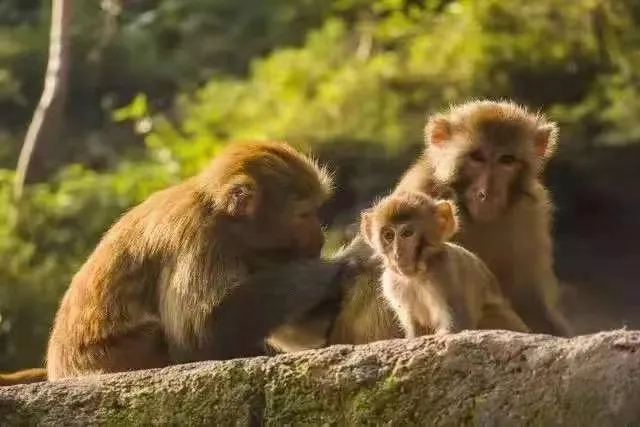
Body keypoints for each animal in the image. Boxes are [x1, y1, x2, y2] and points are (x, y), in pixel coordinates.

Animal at [45, 140, 358, 382]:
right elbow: (199, 334)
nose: (319, 238)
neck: (224, 219)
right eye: (304, 214)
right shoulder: (198, 238)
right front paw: (328, 270)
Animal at [358, 191, 528, 338]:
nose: (397, 254)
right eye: (388, 235)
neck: (418, 274)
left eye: (407, 234)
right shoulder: (392, 282)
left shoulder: (444, 271)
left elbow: (459, 326)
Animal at [396, 100, 576, 338]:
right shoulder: (419, 191)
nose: (487, 193)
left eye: (506, 160)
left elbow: (530, 301)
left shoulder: (531, 212)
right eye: (477, 158)